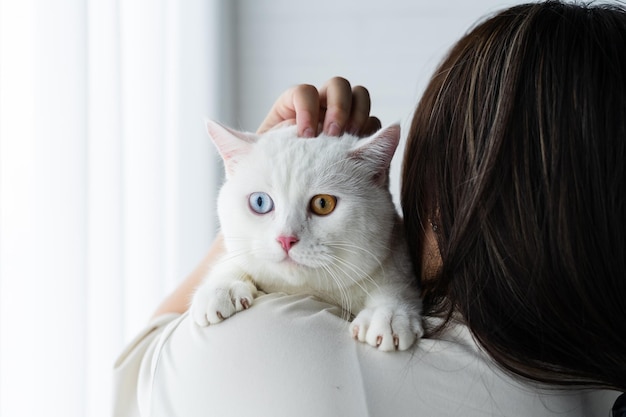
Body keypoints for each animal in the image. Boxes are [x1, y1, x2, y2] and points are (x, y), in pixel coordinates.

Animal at [190, 121, 422, 352]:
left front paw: (388, 314)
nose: (286, 239)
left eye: (323, 203)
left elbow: (397, 286)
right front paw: (221, 287)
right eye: (260, 202)